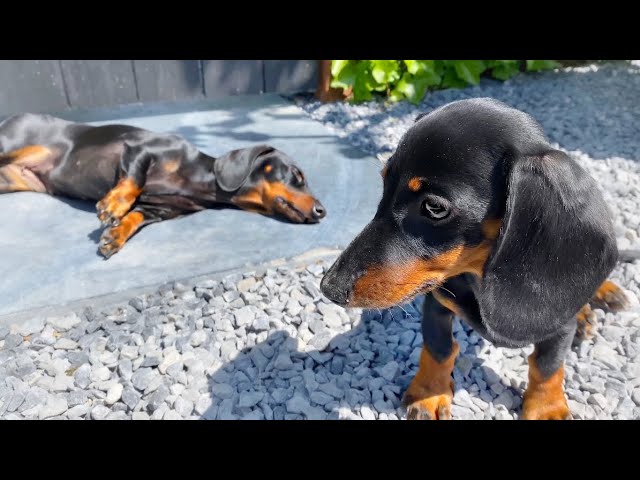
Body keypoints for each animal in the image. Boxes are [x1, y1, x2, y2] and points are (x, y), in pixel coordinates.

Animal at [0, 113, 328, 258]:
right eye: (297, 174)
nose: (322, 211)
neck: (200, 178)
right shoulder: (139, 150)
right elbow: (133, 181)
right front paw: (113, 205)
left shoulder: (158, 210)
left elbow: (135, 217)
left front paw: (115, 236)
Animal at [320, 97, 636, 420]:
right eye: (384, 184)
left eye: (434, 207)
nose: (329, 288)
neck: (479, 276)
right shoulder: (436, 303)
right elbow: (439, 348)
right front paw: (429, 393)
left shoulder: (557, 330)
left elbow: (546, 367)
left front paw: (546, 408)